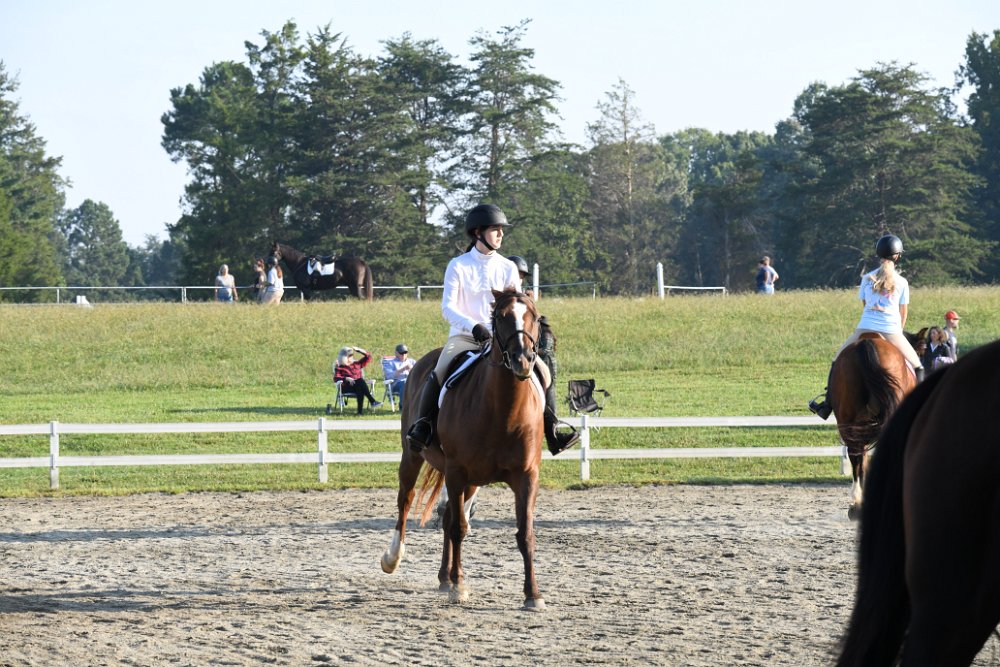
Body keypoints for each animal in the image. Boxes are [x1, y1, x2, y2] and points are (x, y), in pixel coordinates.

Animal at [380, 289, 547, 610]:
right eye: (502, 317)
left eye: (534, 316)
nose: (523, 360)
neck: (502, 410)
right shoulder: (457, 471)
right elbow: (458, 528)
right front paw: (460, 586)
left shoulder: (526, 476)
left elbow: (525, 534)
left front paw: (533, 594)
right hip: (414, 457)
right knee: (406, 501)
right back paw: (394, 558)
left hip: (469, 482)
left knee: (446, 517)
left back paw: (444, 578)